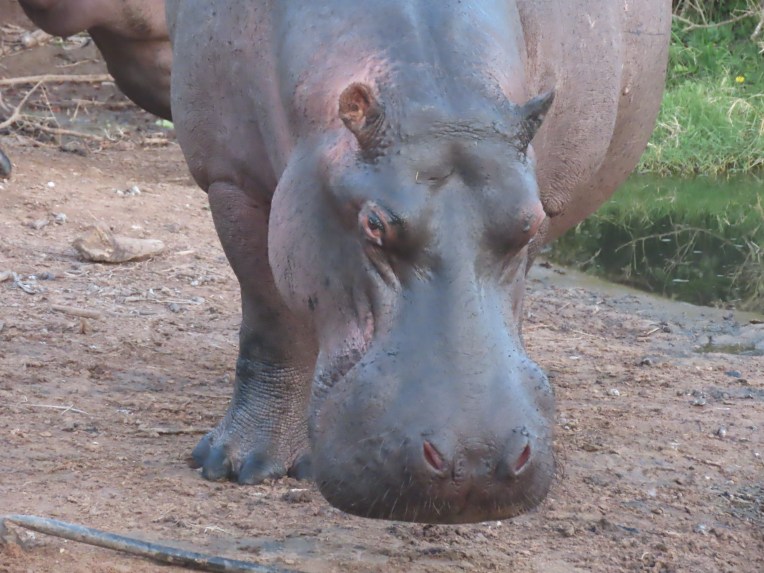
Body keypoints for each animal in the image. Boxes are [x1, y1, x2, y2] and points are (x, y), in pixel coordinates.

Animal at [17, 0, 671, 524]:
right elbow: (270, 327)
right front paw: (235, 464)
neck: (436, 97)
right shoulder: (231, 180)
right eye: (373, 225)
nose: (476, 462)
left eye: (530, 222)